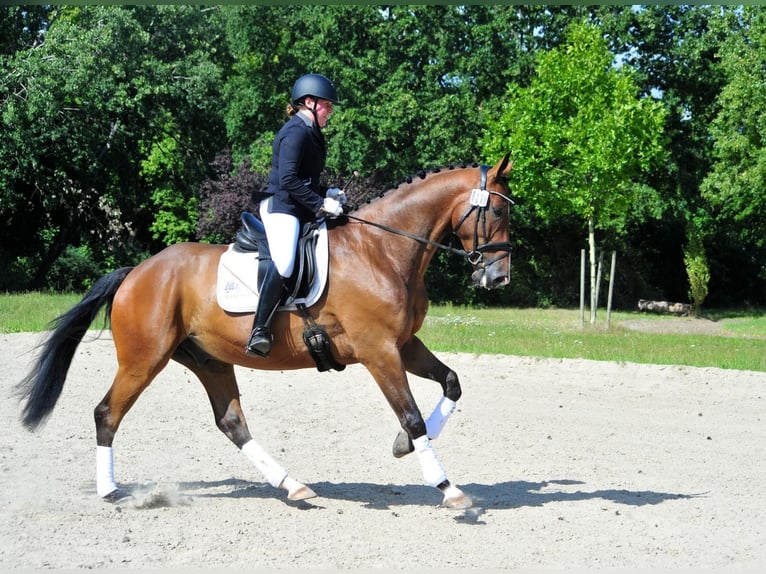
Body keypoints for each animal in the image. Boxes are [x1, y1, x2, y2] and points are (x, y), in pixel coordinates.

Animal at [17, 154, 514, 509]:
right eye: (495, 213)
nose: (498, 278)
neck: (383, 249)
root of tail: (137, 271)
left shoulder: (403, 344)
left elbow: (451, 382)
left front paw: (402, 447)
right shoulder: (379, 351)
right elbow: (410, 414)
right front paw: (447, 487)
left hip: (208, 359)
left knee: (231, 422)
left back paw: (292, 485)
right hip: (144, 359)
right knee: (107, 414)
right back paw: (111, 492)